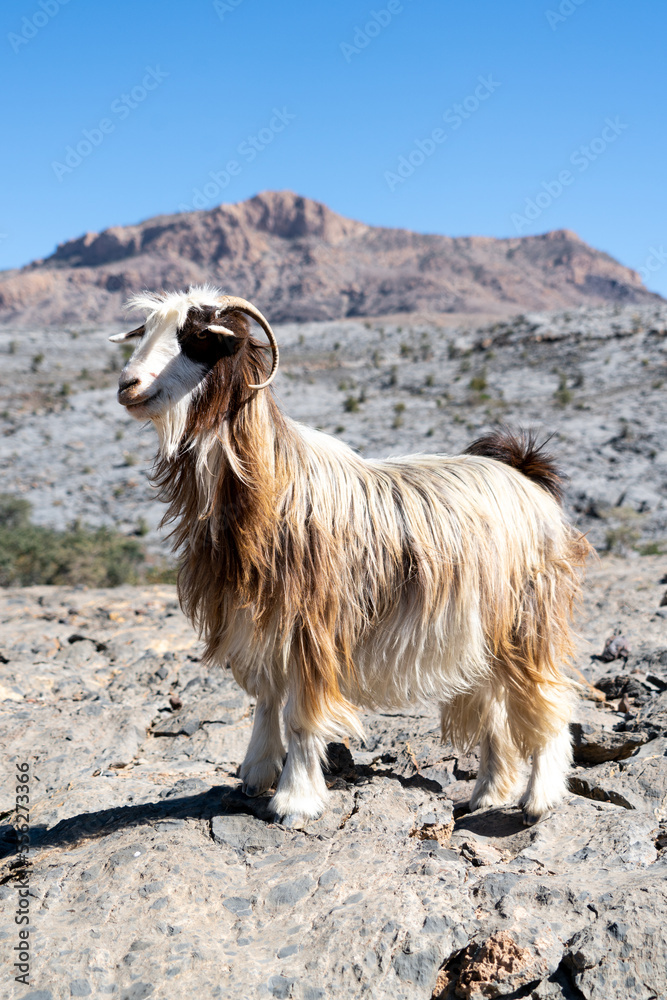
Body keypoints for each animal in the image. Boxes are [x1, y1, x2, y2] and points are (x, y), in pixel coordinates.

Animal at [111, 286, 590, 828]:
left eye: (199, 338)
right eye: (147, 330)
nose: (127, 385)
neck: (272, 480)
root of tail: (527, 475)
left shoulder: (311, 623)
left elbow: (300, 714)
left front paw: (296, 800)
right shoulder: (260, 617)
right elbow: (266, 698)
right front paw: (256, 772)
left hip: (530, 618)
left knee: (548, 698)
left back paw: (539, 798)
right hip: (481, 635)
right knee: (493, 705)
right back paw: (489, 792)